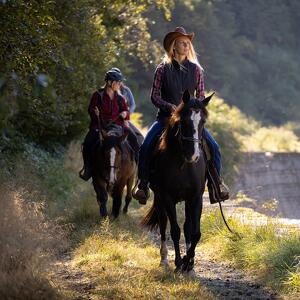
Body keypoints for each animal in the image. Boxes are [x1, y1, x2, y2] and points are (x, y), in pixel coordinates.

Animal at [142, 91, 212, 272]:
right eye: (183, 121)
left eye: (203, 121)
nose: (193, 155)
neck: (183, 164)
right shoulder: (167, 198)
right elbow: (174, 230)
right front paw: (179, 262)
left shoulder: (195, 198)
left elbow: (195, 232)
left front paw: (189, 261)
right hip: (159, 198)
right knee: (163, 224)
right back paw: (164, 259)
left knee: (187, 227)